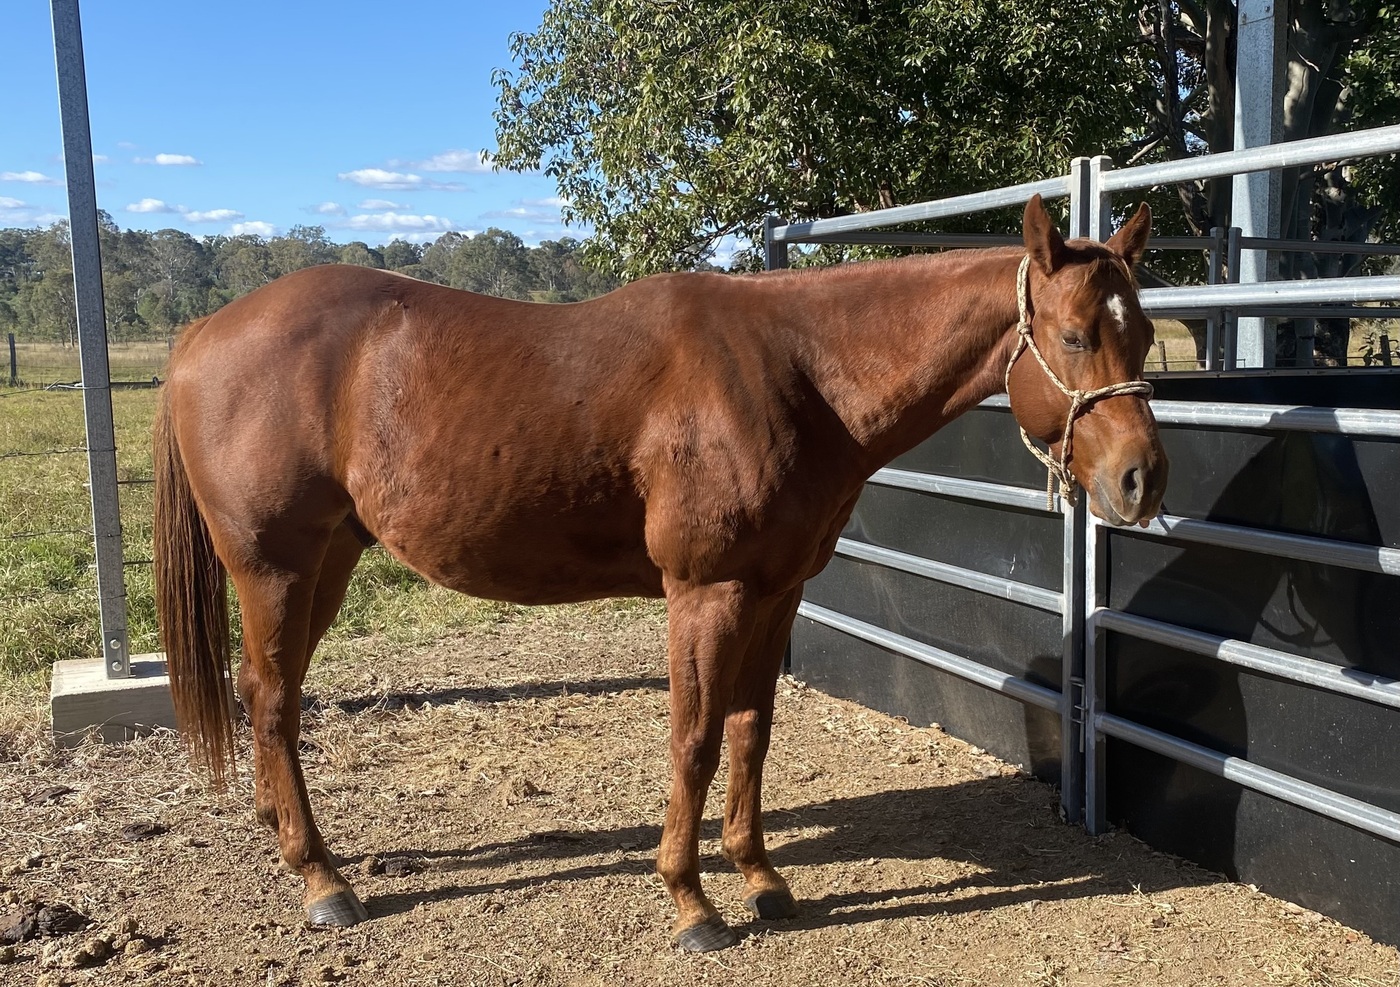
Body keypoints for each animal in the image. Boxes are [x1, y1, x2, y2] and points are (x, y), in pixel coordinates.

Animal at [153, 195, 1167, 952]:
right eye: (1075, 335)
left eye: (1147, 332)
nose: (1142, 479)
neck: (798, 374)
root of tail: (201, 332)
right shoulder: (706, 593)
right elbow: (696, 738)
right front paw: (691, 899)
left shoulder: (777, 591)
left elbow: (752, 733)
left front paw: (760, 876)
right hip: (274, 568)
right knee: (273, 701)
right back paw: (322, 878)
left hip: (325, 563)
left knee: (269, 694)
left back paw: (285, 837)